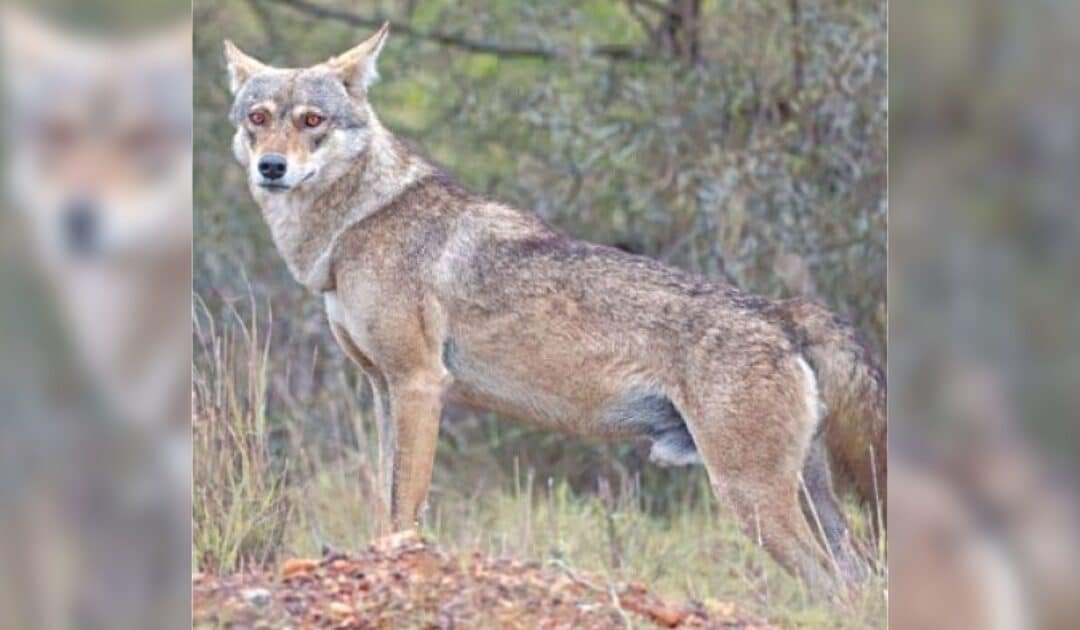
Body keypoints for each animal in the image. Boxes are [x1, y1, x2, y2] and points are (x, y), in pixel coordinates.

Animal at [225, 24, 885, 592]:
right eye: (258, 119)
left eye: (312, 121)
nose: (271, 168)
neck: (353, 226)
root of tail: (783, 312)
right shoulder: (383, 389)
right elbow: (386, 504)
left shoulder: (418, 384)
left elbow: (405, 507)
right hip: (801, 498)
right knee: (857, 579)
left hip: (751, 500)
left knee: (833, 582)